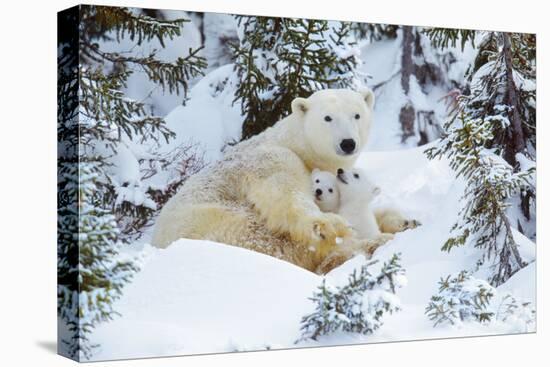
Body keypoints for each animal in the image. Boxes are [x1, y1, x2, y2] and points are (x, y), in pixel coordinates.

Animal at [151, 88, 410, 274]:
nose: (347, 143)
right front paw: (329, 226)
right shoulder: (272, 158)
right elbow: (284, 195)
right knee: (275, 242)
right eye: (327, 118)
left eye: (356, 115)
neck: (296, 145)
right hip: (219, 223)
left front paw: (401, 220)